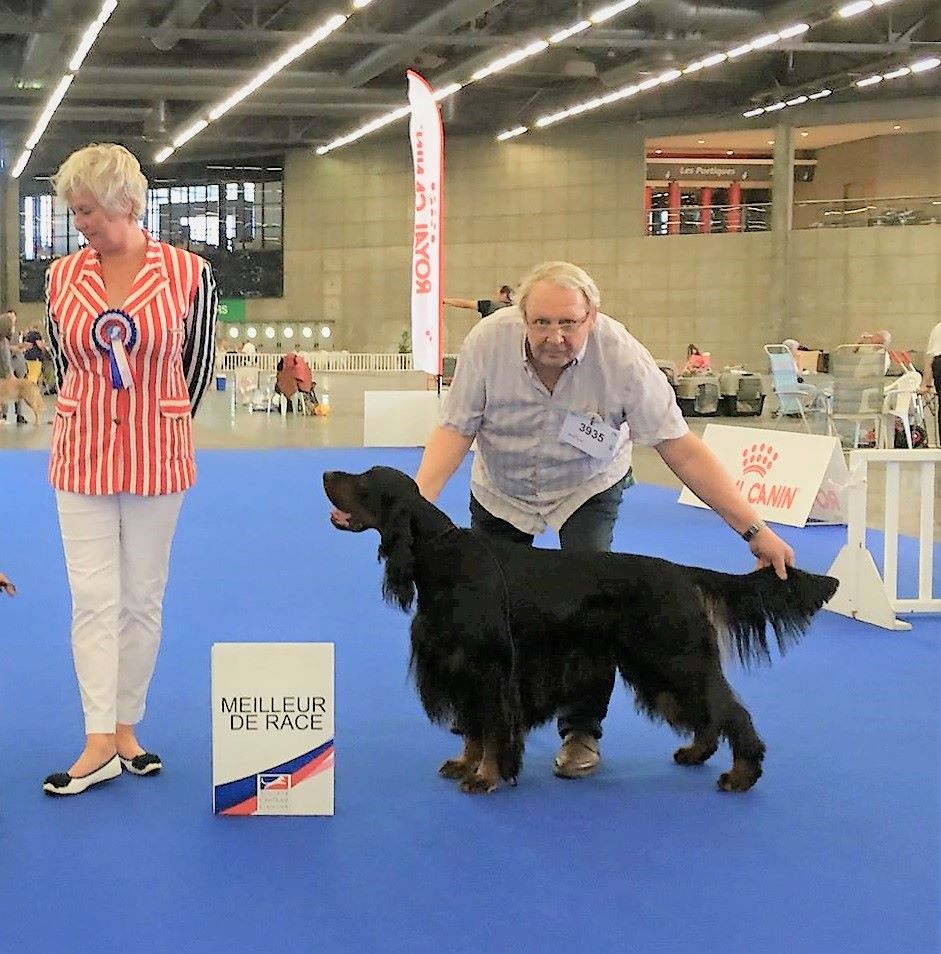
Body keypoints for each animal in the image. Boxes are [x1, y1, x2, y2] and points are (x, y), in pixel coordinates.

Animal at [324, 464, 836, 792]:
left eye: (363, 481)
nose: (327, 474)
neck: (443, 557)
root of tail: (681, 572)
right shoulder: (461, 667)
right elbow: (473, 726)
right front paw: (464, 763)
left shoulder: (489, 667)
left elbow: (492, 726)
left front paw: (486, 776)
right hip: (659, 665)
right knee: (708, 711)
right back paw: (696, 753)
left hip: (675, 656)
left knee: (729, 709)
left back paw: (742, 775)